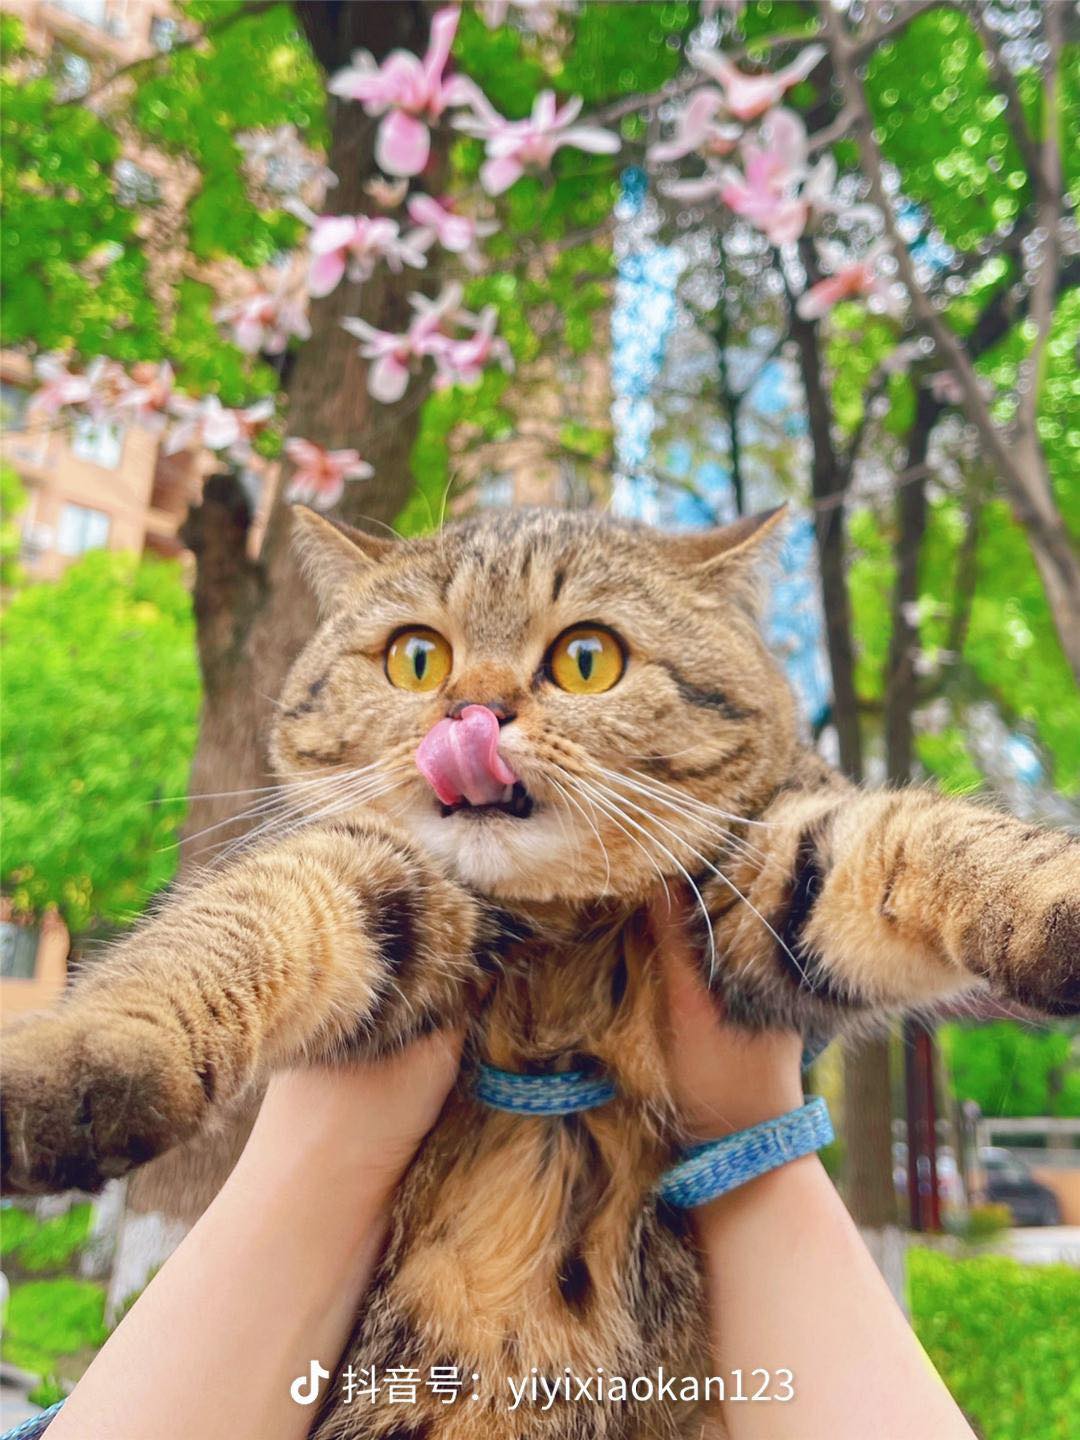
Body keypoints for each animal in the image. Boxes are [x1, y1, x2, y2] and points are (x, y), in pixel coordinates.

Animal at [2, 504, 1080, 1428]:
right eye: (417, 657)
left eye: (587, 659)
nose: (471, 710)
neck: (562, 934)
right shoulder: (374, 875)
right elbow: (240, 921)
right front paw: (83, 1056)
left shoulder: (774, 877)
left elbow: (919, 837)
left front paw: (1051, 897)